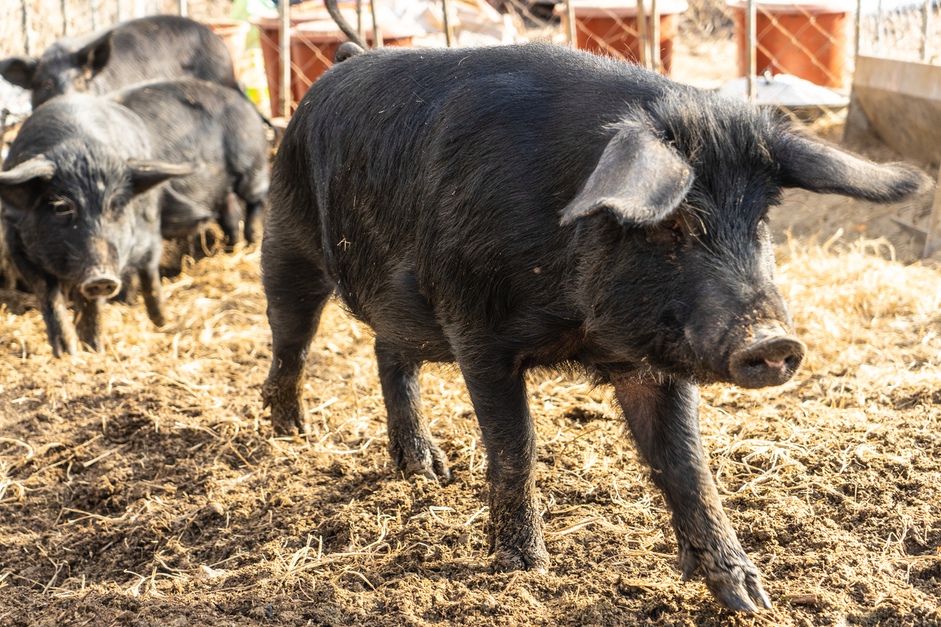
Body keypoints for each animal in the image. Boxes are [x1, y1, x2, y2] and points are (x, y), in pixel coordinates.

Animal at [0, 95, 193, 356]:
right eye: (62, 207)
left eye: (117, 205)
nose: (100, 277)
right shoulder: (17, 243)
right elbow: (47, 293)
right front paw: (66, 352)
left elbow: (94, 303)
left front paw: (93, 349)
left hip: (151, 229)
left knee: (150, 270)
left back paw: (162, 322)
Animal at [112, 78, 272, 245]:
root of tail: (244, 101)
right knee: (231, 214)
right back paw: (231, 245)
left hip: (253, 163)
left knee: (257, 198)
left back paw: (253, 238)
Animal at [260, 45, 928, 612]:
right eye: (671, 224)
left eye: (760, 220)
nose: (774, 342)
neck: (578, 321)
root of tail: (339, 63)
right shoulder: (478, 332)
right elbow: (515, 446)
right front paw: (523, 568)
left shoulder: (651, 361)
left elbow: (687, 463)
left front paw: (749, 599)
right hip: (286, 236)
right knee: (292, 336)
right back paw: (291, 432)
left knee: (386, 350)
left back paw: (425, 471)